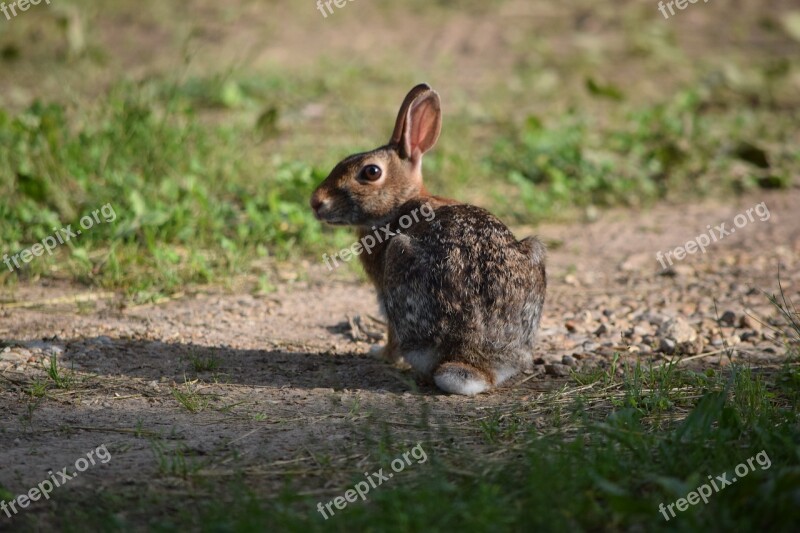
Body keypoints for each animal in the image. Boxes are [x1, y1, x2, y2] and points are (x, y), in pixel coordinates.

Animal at [310, 83, 548, 394]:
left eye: (371, 172)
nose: (316, 202)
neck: (401, 204)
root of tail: (473, 359)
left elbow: (390, 334)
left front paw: (378, 353)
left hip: (399, 264)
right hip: (535, 254)